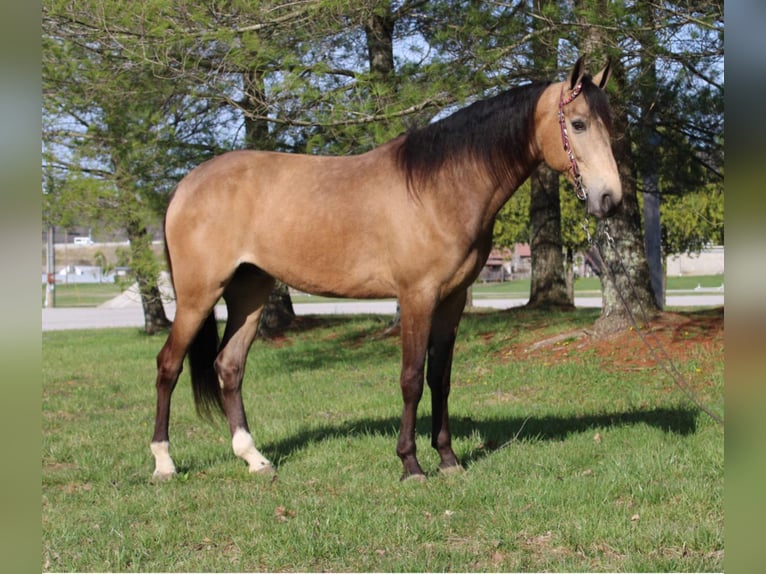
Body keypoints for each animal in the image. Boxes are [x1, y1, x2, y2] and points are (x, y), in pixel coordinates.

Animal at [152, 57, 624, 482]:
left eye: (610, 124)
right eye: (578, 124)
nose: (610, 198)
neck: (439, 187)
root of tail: (185, 185)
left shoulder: (451, 301)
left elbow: (440, 378)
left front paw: (448, 460)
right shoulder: (417, 296)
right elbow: (411, 379)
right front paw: (410, 465)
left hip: (249, 292)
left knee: (229, 367)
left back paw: (255, 459)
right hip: (198, 295)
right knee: (168, 365)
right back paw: (164, 463)